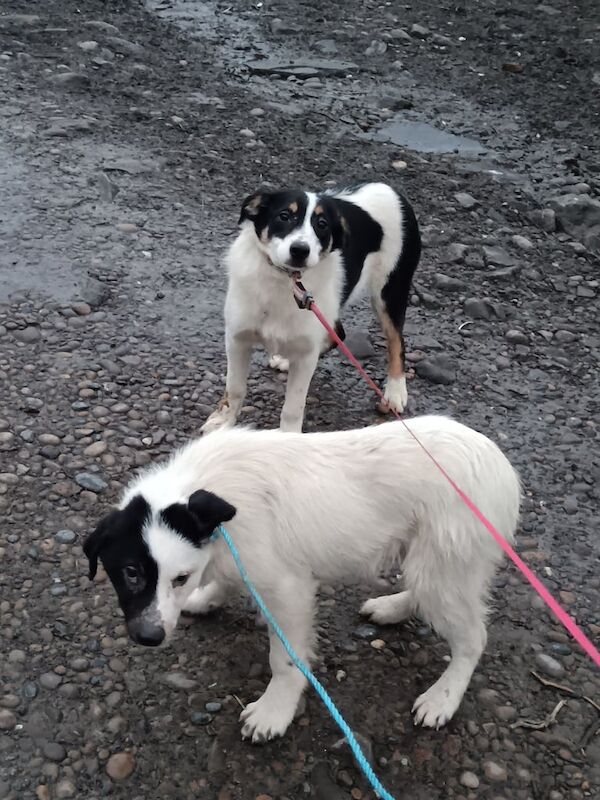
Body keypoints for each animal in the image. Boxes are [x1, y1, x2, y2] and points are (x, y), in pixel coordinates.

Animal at [83, 418, 520, 744]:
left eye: (179, 577)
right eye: (131, 573)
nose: (149, 637)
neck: (201, 488)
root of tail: (501, 467)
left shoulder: (287, 589)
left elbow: (285, 659)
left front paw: (275, 710)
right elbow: (227, 579)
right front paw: (207, 597)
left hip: (445, 564)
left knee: (473, 637)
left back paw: (443, 698)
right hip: (433, 563)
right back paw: (393, 607)